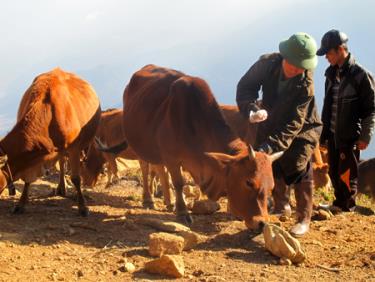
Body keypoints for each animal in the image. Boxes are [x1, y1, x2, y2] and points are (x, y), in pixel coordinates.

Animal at [0, 68, 101, 216]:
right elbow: (28, 180)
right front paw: (21, 204)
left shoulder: (75, 147)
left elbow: (76, 178)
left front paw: (83, 206)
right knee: (62, 161)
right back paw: (61, 188)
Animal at [98, 65, 284, 229]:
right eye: (249, 182)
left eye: (271, 186)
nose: (262, 223)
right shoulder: (172, 158)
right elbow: (178, 183)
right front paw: (182, 212)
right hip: (141, 146)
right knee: (146, 169)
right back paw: (149, 199)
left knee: (158, 171)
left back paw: (168, 201)